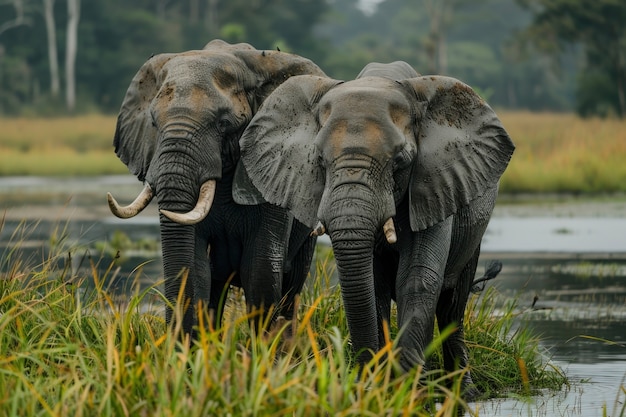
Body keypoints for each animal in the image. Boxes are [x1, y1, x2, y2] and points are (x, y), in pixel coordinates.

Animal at [236, 59, 516, 396]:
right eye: (319, 160)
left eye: (400, 162)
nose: (359, 375)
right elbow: (372, 284)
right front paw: (382, 385)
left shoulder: (433, 183)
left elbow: (417, 278)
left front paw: (411, 388)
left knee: (452, 307)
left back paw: (464, 393)